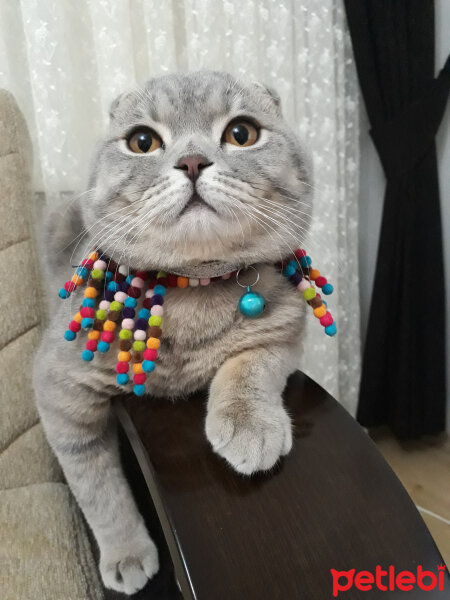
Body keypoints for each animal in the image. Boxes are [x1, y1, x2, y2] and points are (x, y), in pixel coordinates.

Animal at [33, 68, 312, 592]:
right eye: (142, 142)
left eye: (241, 133)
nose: (192, 160)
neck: (193, 292)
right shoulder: (57, 388)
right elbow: (97, 485)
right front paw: (126, 552)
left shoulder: (285, 328)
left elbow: (251, 364)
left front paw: (249, 424)